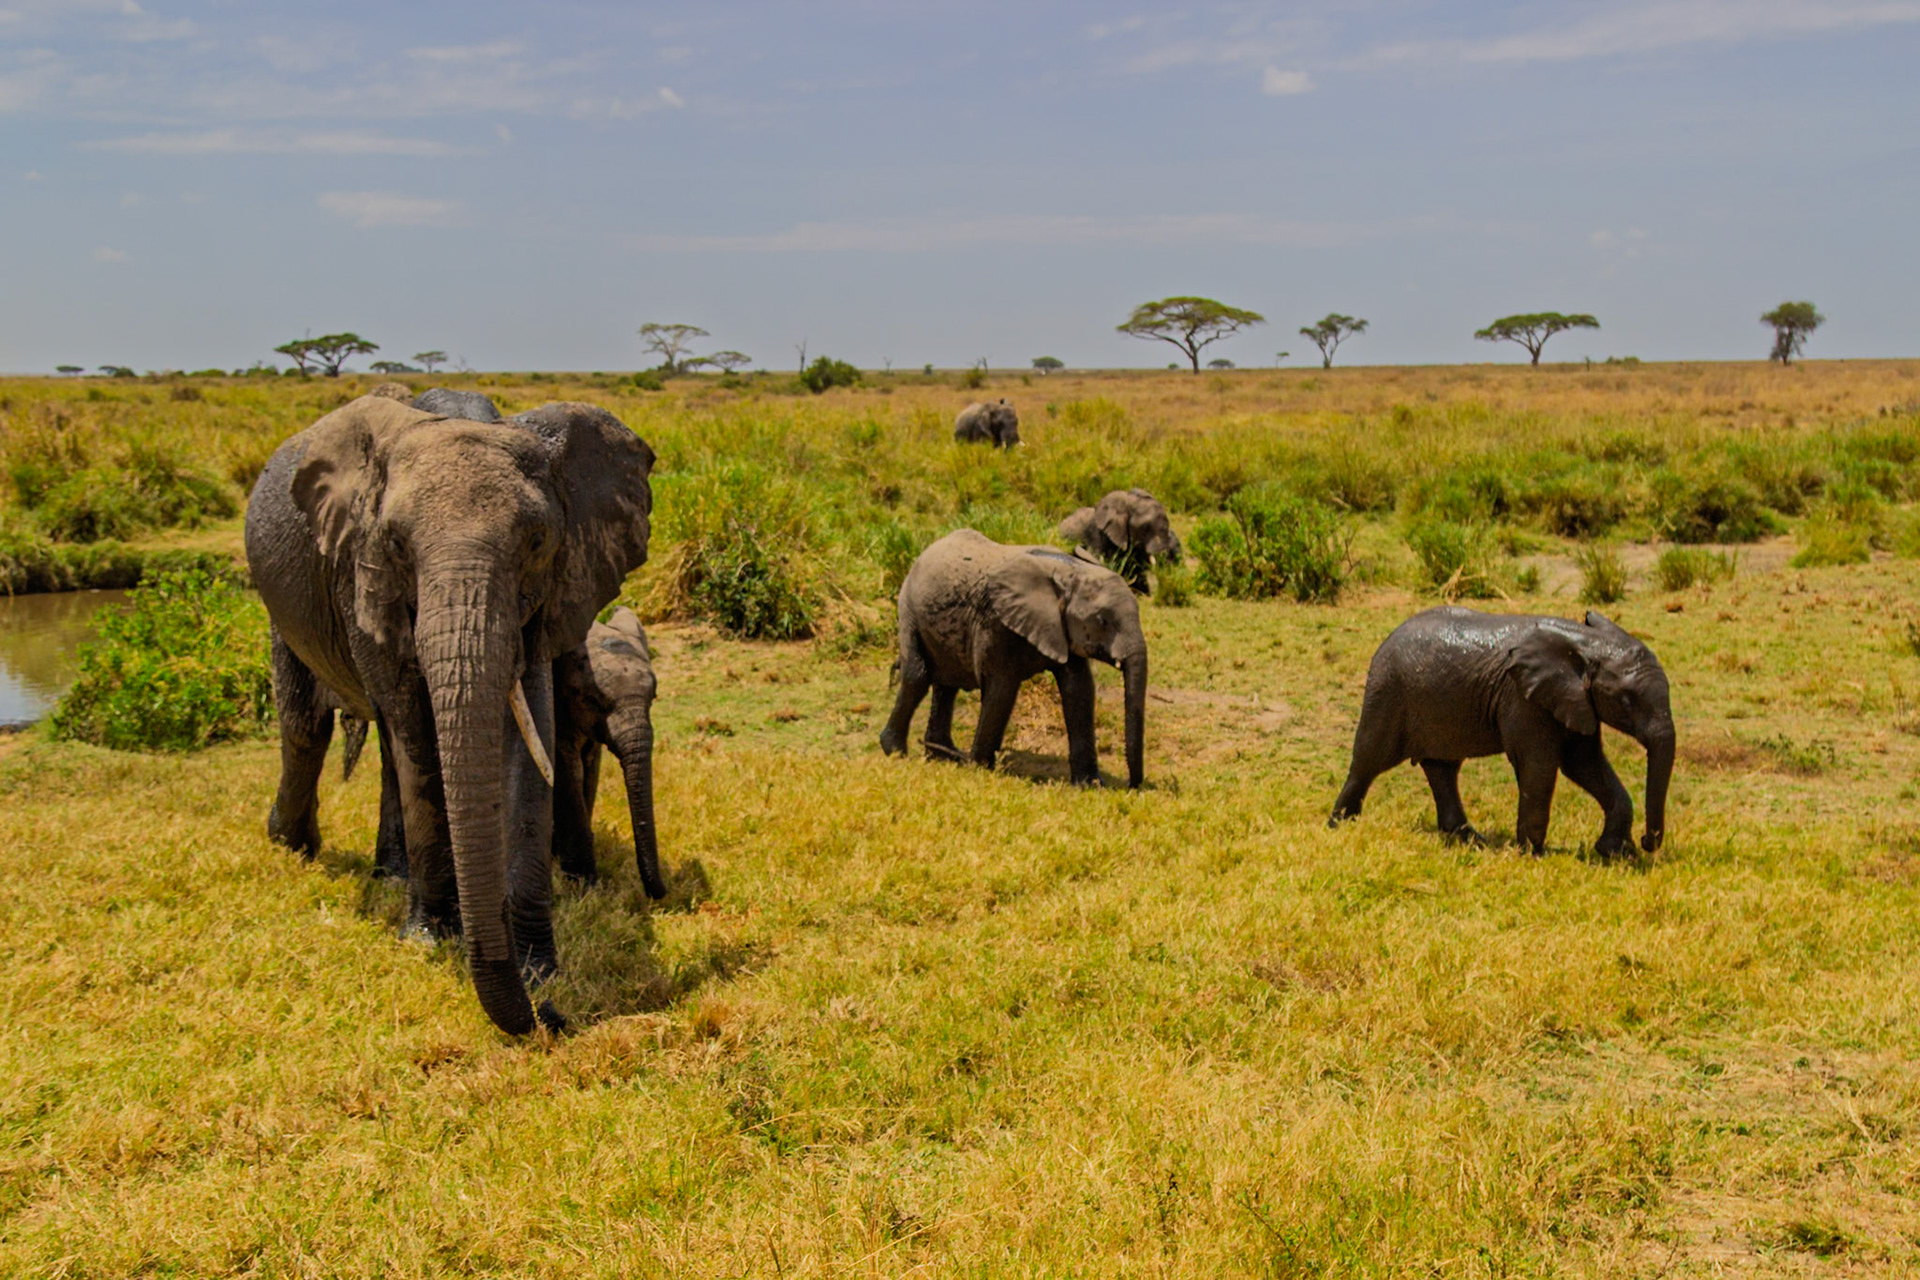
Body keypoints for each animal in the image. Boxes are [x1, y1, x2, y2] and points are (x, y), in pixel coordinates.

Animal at [552, 607, 663, 896]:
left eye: (653, 696)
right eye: (591, 700)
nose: (659, 893)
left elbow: (589, 770)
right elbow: (567, 771)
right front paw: (584, 886)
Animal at [880, 529, 1148, 788]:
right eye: (1102, 620)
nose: (1131, 785)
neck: (1068, 571)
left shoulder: (1062, 630)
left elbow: (1079, 690)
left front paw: (1090, 785)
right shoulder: (996, 623)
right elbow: (1002, 691)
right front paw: (979, 768)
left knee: (946, 686)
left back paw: (941, 755)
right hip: (909, 609)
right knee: (917, 676)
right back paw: (896, 751)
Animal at [1328, 607, 1675, 858]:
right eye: (1627, 700)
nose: (1647, 843)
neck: (1582, 643)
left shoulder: (1575, 700)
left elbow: (1584, 763)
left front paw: (1614, 855)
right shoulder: (1523, 697)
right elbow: (1540, 765)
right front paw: (1533, 855)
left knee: (1442, 768)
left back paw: (1471, 841)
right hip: (1387, 691)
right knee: (1369, 760)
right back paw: (1339, 826)